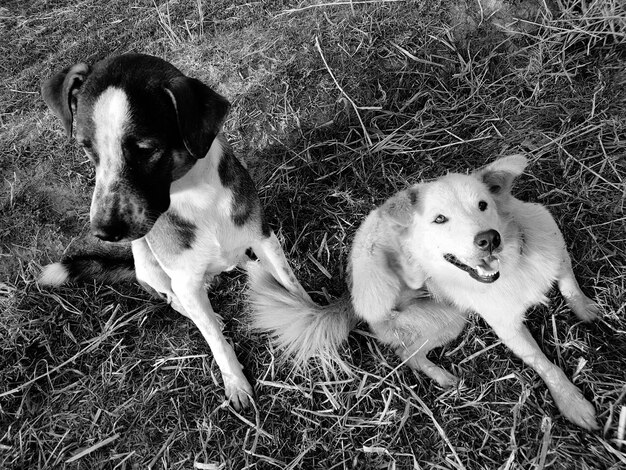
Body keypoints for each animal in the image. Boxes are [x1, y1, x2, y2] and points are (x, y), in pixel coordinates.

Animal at [39, 53, 308, 410]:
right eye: (87, 148)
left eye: (145, 149)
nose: (104, 231)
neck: (196, 196)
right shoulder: (184, 279)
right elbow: (213, 337)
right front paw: (235, 381)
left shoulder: (263, 237)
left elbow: (292, 286)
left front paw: (310, 316)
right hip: (148, 264)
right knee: (173, 300)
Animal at [246, 155, 596, 430]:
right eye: (439, 219)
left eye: (483, 205)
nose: (489, 239)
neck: (512, 267)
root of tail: (350, 294)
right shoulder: (508, 328)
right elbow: (544, 364)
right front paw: (572, 402)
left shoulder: (555, 246)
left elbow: (569, 285)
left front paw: (587, 308)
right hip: (447, 317)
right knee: (408, 353)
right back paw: (440, 371)